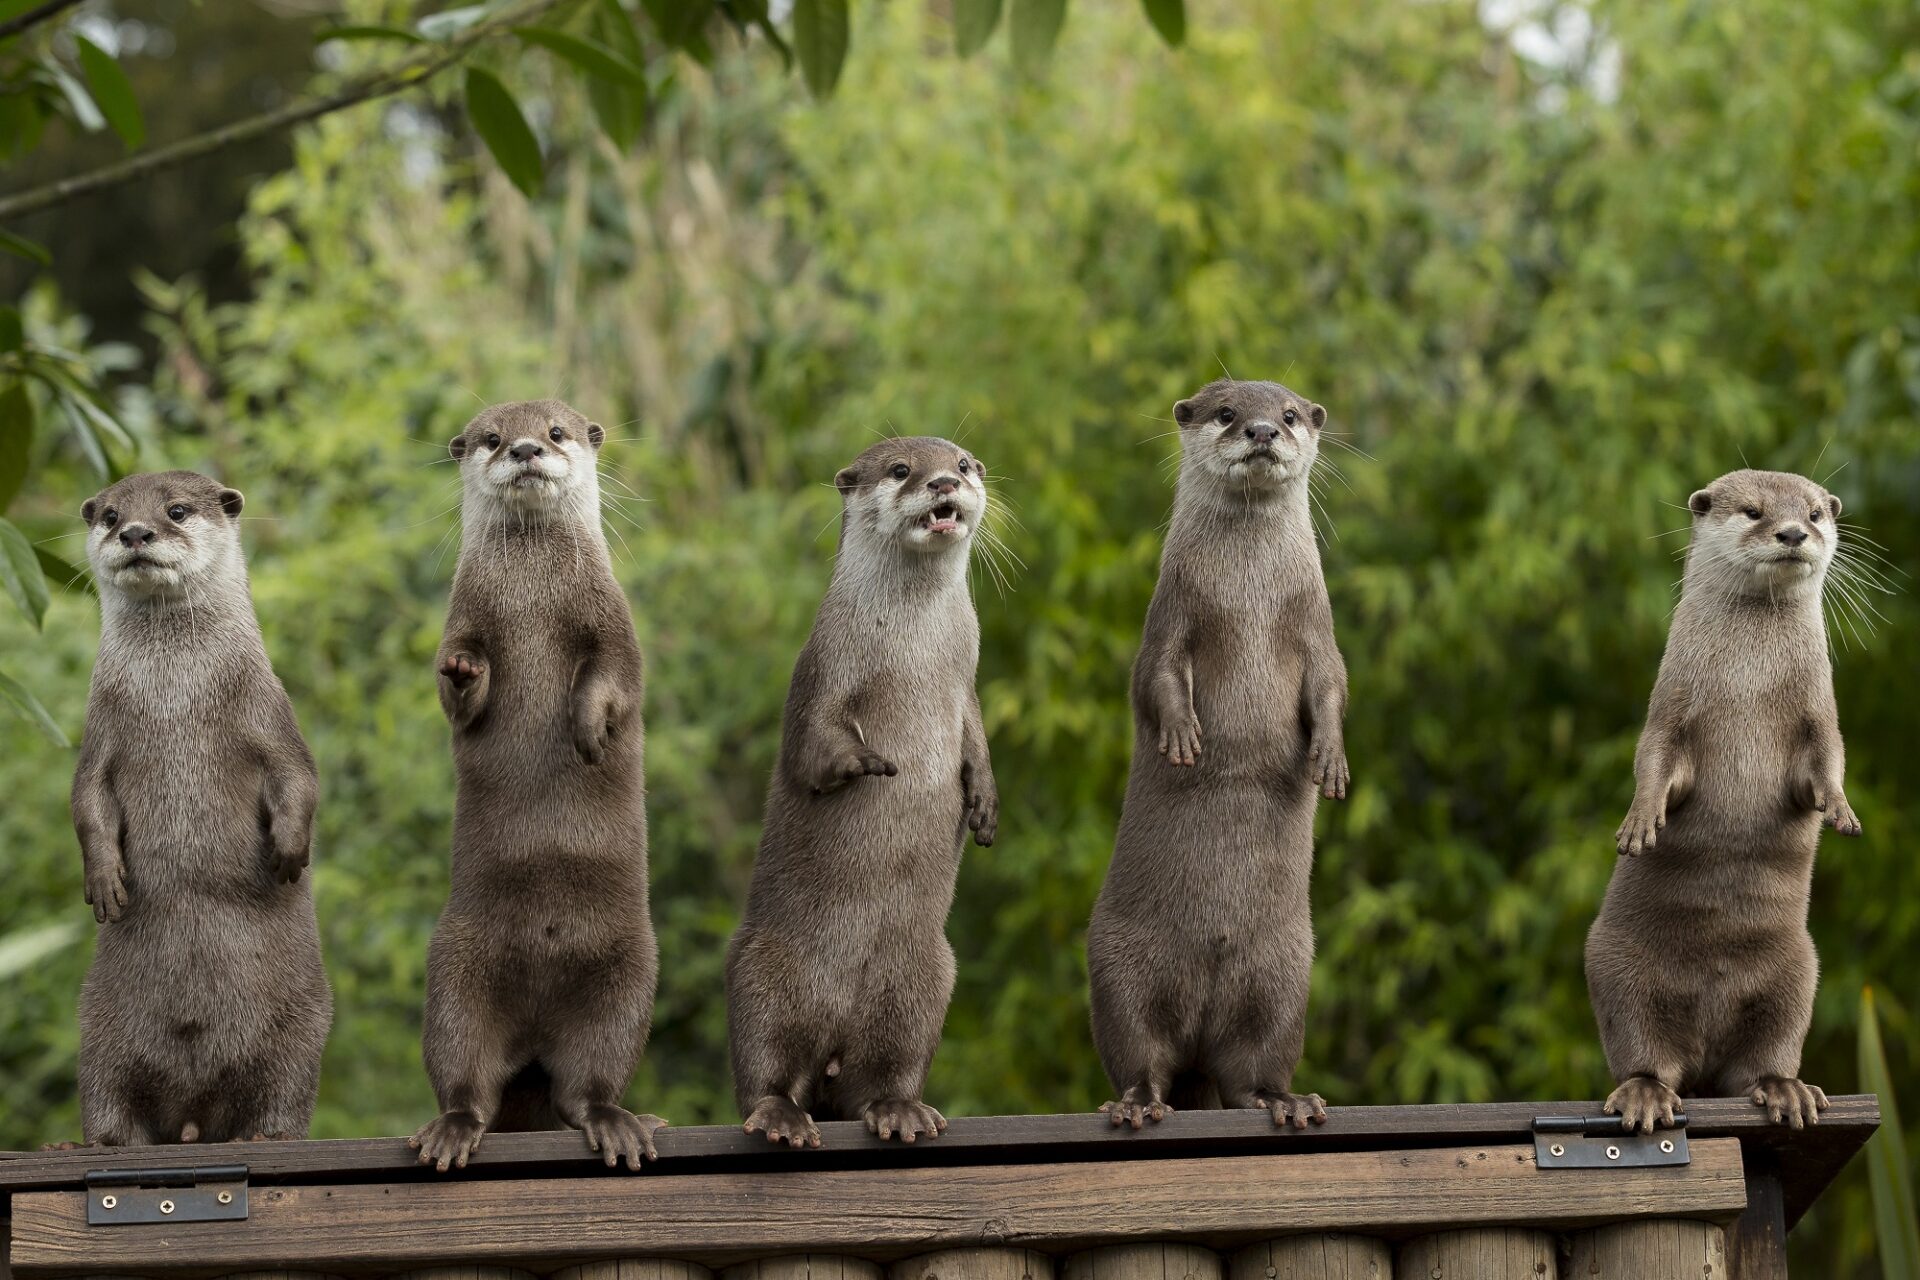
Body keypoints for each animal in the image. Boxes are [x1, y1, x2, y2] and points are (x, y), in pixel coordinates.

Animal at [66, 466, 330, 1143]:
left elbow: (300, 776)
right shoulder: (100, 736)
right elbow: (85, 803)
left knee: (280, 1098)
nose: (135, 532)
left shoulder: (268, 712)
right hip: (98, 1032)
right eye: (110, 515)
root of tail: (192, 1110)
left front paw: (288, 851)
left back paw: (264, 1136)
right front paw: (104, 879)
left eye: (177, 510)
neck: (176, 694)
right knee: (110, 1102)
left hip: (301, 1033)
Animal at [412, 397, 668, 1174]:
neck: (532, 601)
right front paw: (465, 675)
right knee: (467, 1076)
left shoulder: (613, 621)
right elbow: (458, 694)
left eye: (556, 432)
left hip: (628, 977)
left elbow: (613, 679)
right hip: (456, 973)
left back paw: (620, 1121)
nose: (525, 450)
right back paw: (453, 1128)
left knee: (586, 1085)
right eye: (492, 439)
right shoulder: (466, 619)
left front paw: (586, 732)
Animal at [721, 435, 1006, 1143]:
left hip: (923, 985)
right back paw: (781, 1117)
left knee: (880, 1075)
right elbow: (816, 748)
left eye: (964, 464)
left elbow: (977, 741)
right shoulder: (824, 668)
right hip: (764, 968)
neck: (916, 654)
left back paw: (900, 1110)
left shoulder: (966, 686)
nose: (942, 483)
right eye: (902, 470)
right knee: (764, 1068)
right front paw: (872, 763)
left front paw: (985, 804)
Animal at [1090, 378, 1344, 1128]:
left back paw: (1285, 1100)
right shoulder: (1172, 615)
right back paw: (1138, 1105)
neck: (1251, 598)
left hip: (1285, 979)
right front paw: (1181, 737)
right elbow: (1156, 681)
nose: (1262, 431)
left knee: (1251, 1068)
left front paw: (1331, 760)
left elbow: (1334, 688)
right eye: (1227, 413)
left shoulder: (1316, 627)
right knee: (1142, 1055)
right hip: (1118, 966)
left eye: (1289, 413)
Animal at [1589, 468, 1858, 1128]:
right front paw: (1640, 821)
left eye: (1815, 514)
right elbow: (1653, 760)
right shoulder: (1672, 704)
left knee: (1763, 1057)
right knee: (1644, 1053)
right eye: (1755, 511)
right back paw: (1646, 1094)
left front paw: (1839, 808)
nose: (1792, 533)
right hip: (1613, 966)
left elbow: (1828, 760)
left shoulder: (1819, 711)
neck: (1749, 680)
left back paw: (1786, 1089)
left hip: (1799, 975)